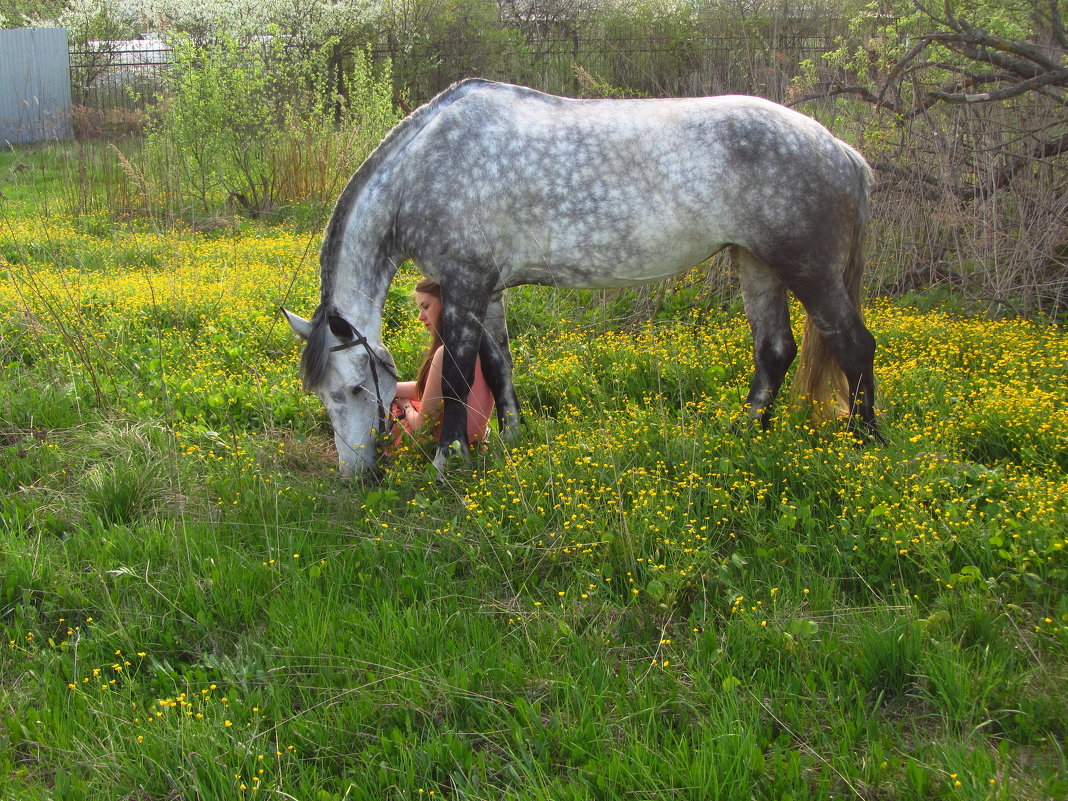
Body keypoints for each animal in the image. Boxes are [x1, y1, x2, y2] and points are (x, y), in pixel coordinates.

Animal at [284, 80, 875, 476]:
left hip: (807, 269)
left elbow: (455, 376)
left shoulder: (463, 285)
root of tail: (840, 149)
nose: (357, 474)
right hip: (756, 263)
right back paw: (744, 433)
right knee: (774, 350)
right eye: (325, 396)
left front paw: (448, 459)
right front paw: (510, 437)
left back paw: (865, 444)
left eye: (356, 388)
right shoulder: (487, 291)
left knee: (854, 345)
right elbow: (497, 366)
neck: (425, 166)